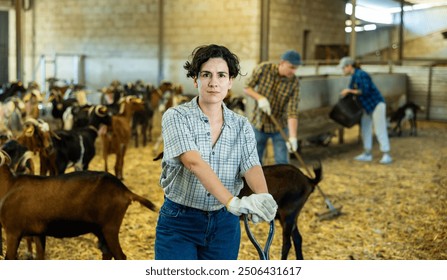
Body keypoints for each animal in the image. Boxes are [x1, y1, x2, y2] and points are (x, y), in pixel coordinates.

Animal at [0, 151, 158, 260]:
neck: (10, 185)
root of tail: (125, 190)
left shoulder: (13, 231)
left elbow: (9, 258)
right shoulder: (39, 233)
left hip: (110, 227)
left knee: (119, 256)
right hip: (100, 230)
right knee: (107, 253)